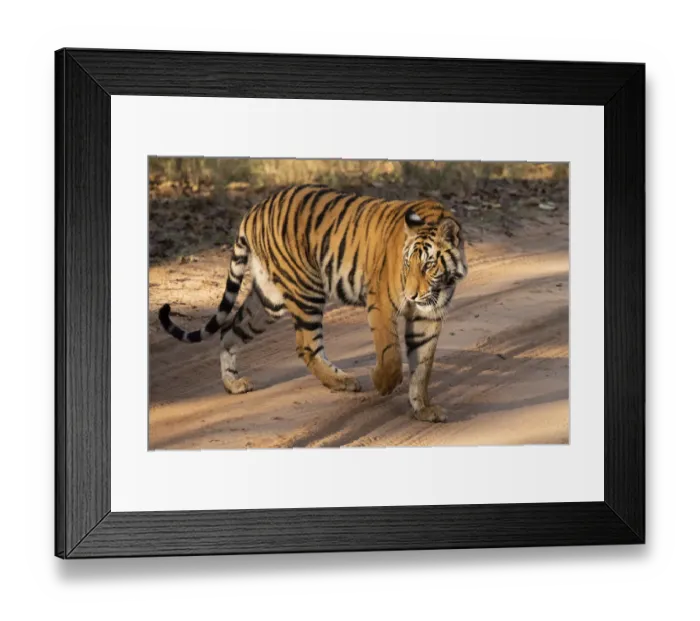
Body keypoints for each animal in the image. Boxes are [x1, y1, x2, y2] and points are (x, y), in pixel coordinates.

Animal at [159, 184, 468, 422]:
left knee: (229, 330)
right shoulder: (381, 303)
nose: (412, 295)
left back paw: (234, 384)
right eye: (407, 264)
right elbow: (391, 355)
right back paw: (343, 381)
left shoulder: (429, 317)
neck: (439, 285)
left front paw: (424, 409)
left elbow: (423, 367)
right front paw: (381, 383)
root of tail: (254, 210)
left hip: (268, 300)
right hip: (307, 288)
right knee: (307, 345)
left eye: (428, 265)